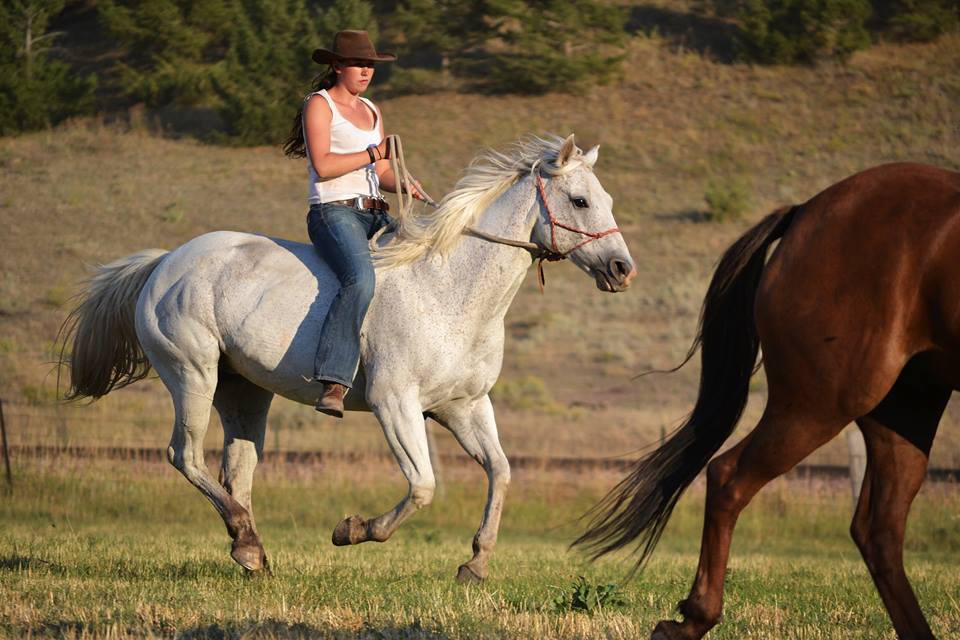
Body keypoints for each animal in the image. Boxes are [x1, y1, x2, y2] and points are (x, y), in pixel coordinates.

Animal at [65, 134, 636, 580]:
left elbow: (500, 472)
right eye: (580, 201)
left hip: (243, 390)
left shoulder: (464, 406)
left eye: (607, 197)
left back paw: (250, 551)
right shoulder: (395, 404)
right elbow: (423, 486)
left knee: (238, 469)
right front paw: (352, 530)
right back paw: (246, 540)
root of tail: (165, 261)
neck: (448, 288)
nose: (622, 269)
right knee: (184, 455)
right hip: (192, 375)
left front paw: (474, 565)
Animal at [576, 162, 960, 636]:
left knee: (880, 530)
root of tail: (805, 211)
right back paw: (693, 618)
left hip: (904, 409)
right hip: (819, 403)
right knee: (728, 476)